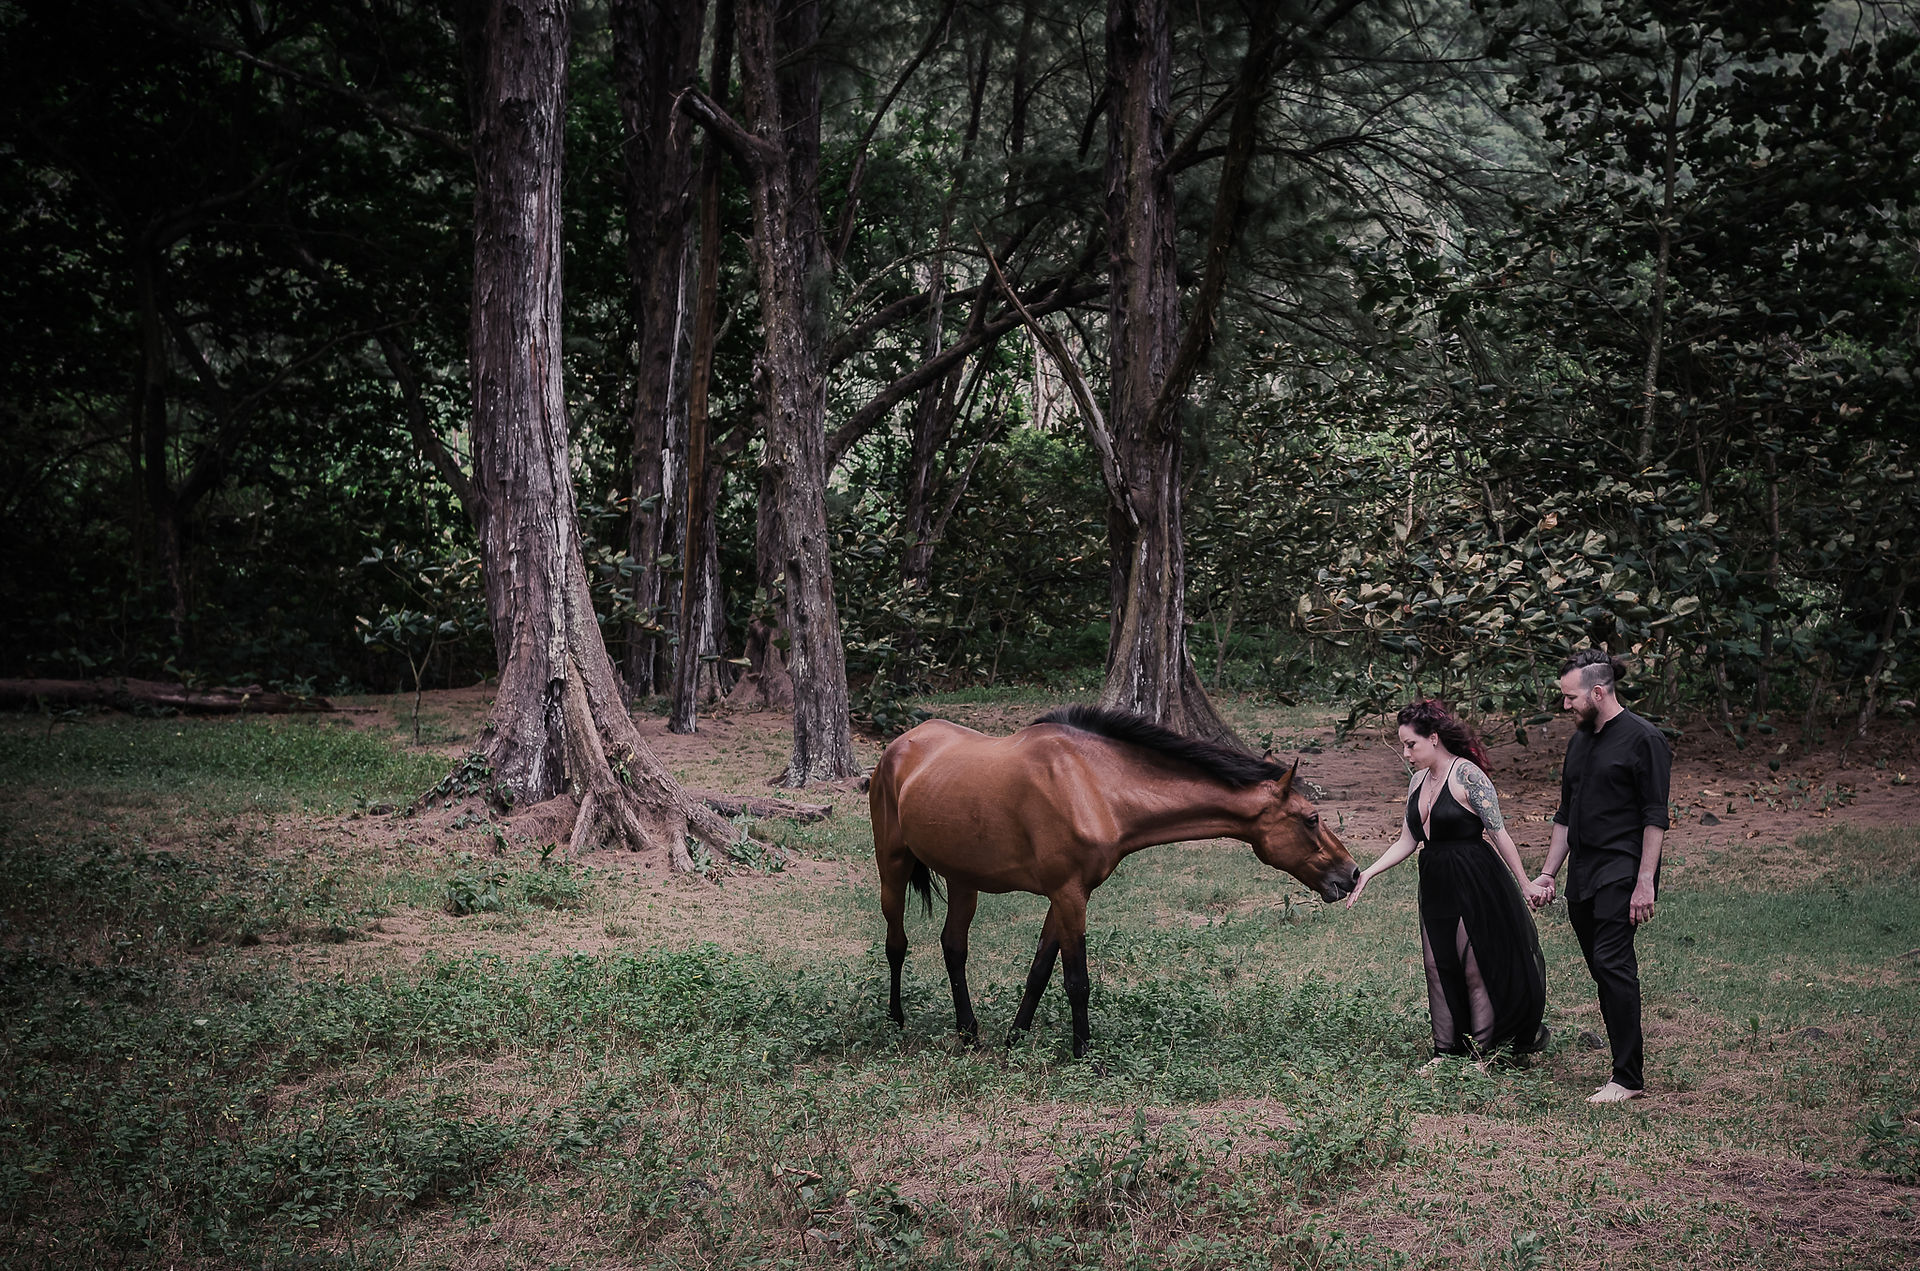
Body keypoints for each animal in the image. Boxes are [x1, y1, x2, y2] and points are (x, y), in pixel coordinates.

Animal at [869, 704, 1360, 1057]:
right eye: (1311, 819)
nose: (1351, 875)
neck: (1092, 786)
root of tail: (899, 746)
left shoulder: (1068, 895)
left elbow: (1039, 971)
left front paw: (1015, 1038)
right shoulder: (1069, 896)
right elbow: (1076, 981)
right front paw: (1085, 1055)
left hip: (963, 879)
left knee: (953, 947)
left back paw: (969, 1033)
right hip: (892, 867)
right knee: (897, 943)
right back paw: (895, 1021)